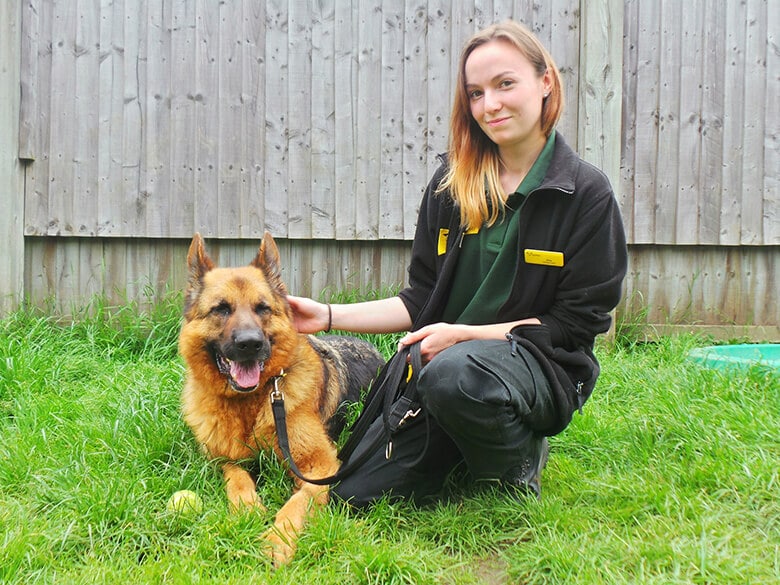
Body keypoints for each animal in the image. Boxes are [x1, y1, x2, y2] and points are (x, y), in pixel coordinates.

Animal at [177, 233, 384, 564]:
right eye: (221, 309)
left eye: (262, 308)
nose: (250, 344)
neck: (253, 402)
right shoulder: (222, 459)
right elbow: (238, 478)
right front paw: (247, 508)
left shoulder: (321, 467)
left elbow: (297, 503)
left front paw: (277, 540)